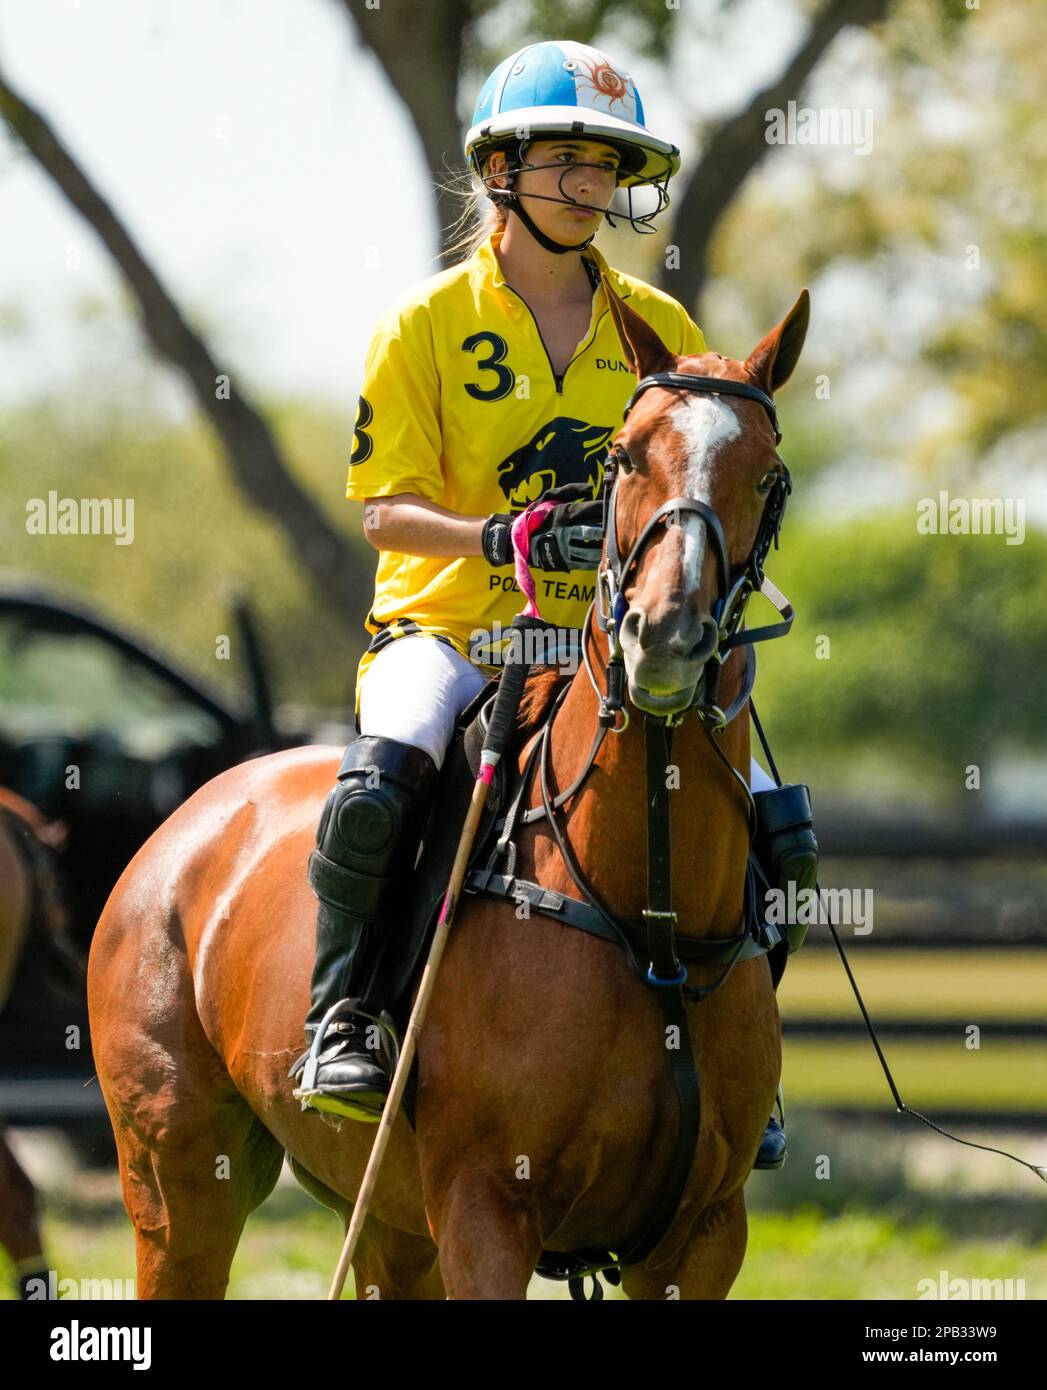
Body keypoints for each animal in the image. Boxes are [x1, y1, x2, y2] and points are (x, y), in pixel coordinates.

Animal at [87, 284, 806, 1301]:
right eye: (624, 457)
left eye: (766, 475)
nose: (663, 636)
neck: (647, 920)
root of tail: (191, 813)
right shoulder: (484, 1210)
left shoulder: (702, 1236)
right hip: (178, 1178)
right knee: (370, 805)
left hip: (388, 1220)